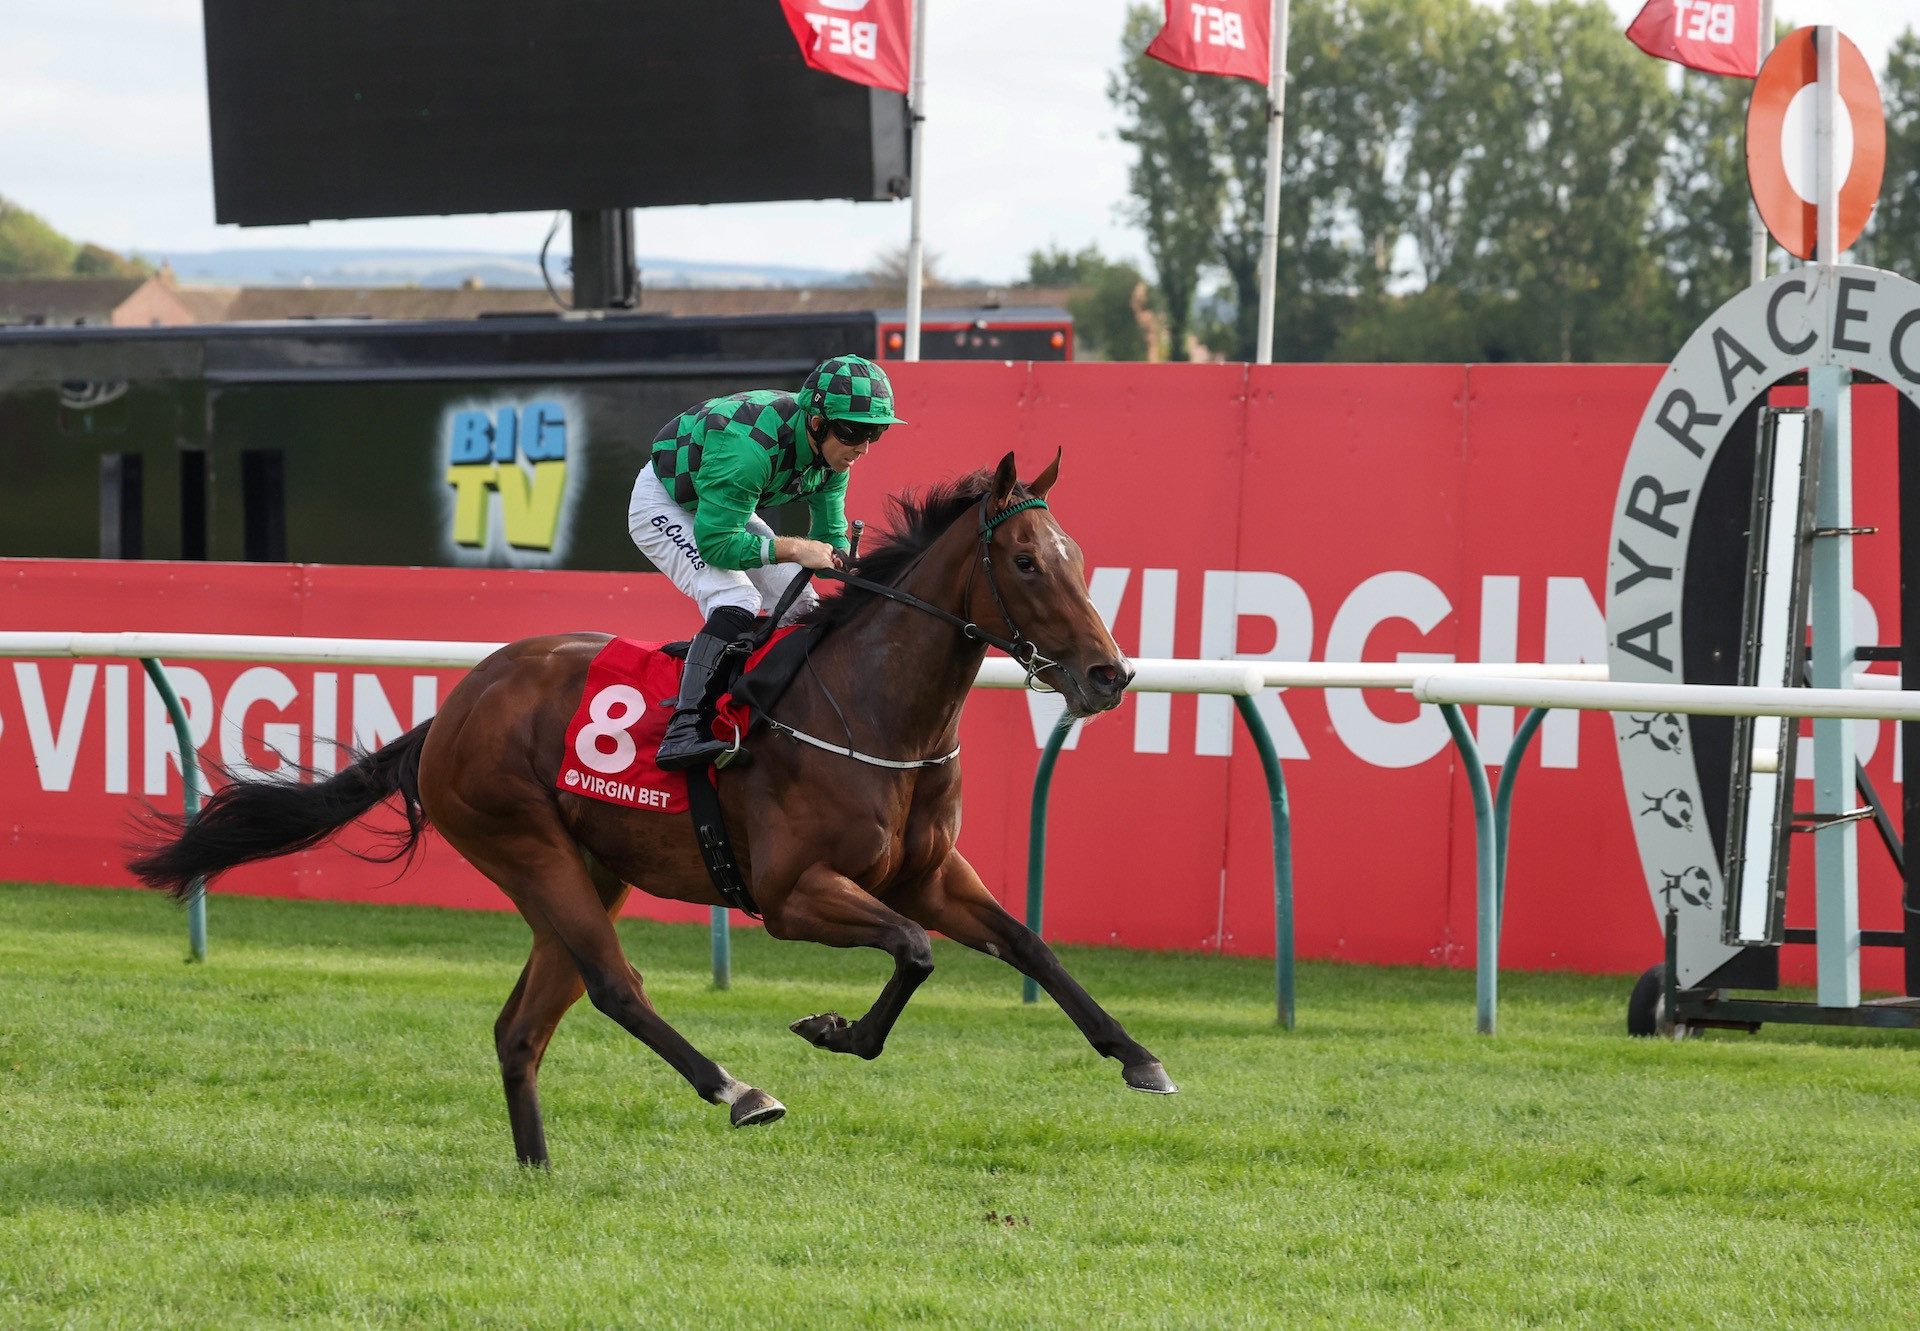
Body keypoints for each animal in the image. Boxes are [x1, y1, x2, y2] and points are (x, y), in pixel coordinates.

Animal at [131, 455, 1167, 1160]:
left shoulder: (930, 873)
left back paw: (538, 1169)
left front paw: (1137, 1055)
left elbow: (1027, 942)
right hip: (529, 848)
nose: (1109, 674)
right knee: (614, 985)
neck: (873, 708)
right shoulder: (793, 895)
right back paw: (737, 1088)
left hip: (588, 870)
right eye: (1027, 561)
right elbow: (913, 952)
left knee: (523, 1026)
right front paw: (834, 1031)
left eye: (1078, 556)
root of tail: (454, 707)